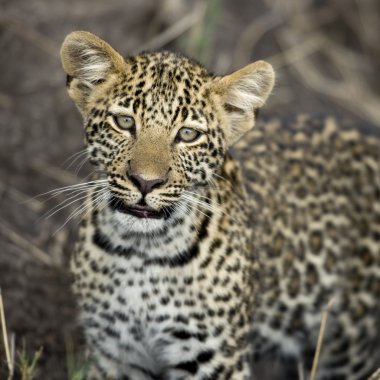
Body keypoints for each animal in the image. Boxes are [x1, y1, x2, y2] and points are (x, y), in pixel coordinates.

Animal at [60, 30, 380, 380]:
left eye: (188, 134)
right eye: (124, 122)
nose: (145, 182)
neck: (141, 253)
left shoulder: (215, 358)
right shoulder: (114, 354)